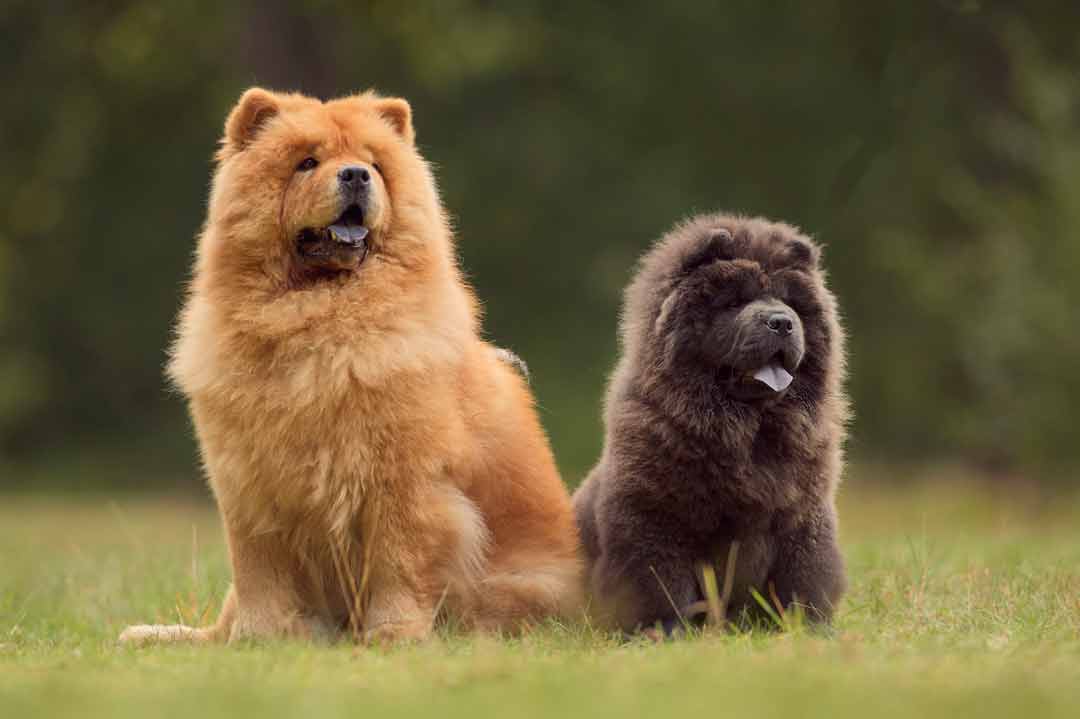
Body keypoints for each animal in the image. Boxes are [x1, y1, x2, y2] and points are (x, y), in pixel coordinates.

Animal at [120, 89, 583, 643]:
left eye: (375, 165)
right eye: (306, 163)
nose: (357, 175)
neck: (314, 320)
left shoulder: (401, 480)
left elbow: (398, 562)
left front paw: (393, 634)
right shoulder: (246, 484)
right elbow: (257, 571)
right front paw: (258, 639)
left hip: (520, 586)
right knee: (219, 620)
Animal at [578, 212, 846, 634]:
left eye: (790, 303)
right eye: (734, 302)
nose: (782, 322)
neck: (749, 434)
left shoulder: (803, 517)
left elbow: (804, 575)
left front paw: (809, 627)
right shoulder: (654, 517)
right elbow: (661, 581)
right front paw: (664, 631)